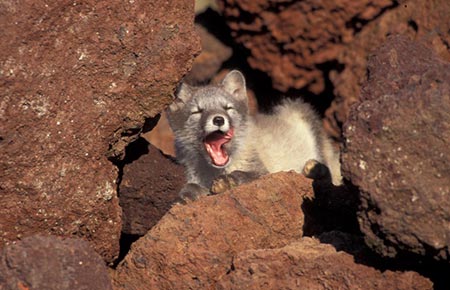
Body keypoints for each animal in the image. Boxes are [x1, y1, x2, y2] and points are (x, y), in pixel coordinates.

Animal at [168, 70, 342, 201]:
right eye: (197, 111)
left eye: (228, 108)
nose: (218, 119)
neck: (215, 171)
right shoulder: (192, 175)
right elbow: (191, 186)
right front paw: (185, 196)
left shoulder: (263, 171)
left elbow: (246, 175)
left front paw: (228, 181)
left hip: (298, 110)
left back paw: (314, 170)